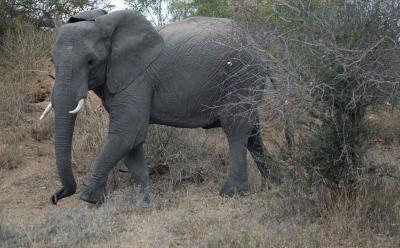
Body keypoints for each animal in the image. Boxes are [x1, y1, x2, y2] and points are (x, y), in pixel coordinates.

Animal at [43, 8, 276, 204]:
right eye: (52, 59)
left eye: (91, 61)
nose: (55, 197)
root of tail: (260, 49)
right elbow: (132, 143)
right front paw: (144, 203)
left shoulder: (136, 80)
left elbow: (126, 134)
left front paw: (89, 199)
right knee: (253, 132)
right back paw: (274, 184)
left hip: (241, 74)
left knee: (235, 128)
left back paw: (232, 193)